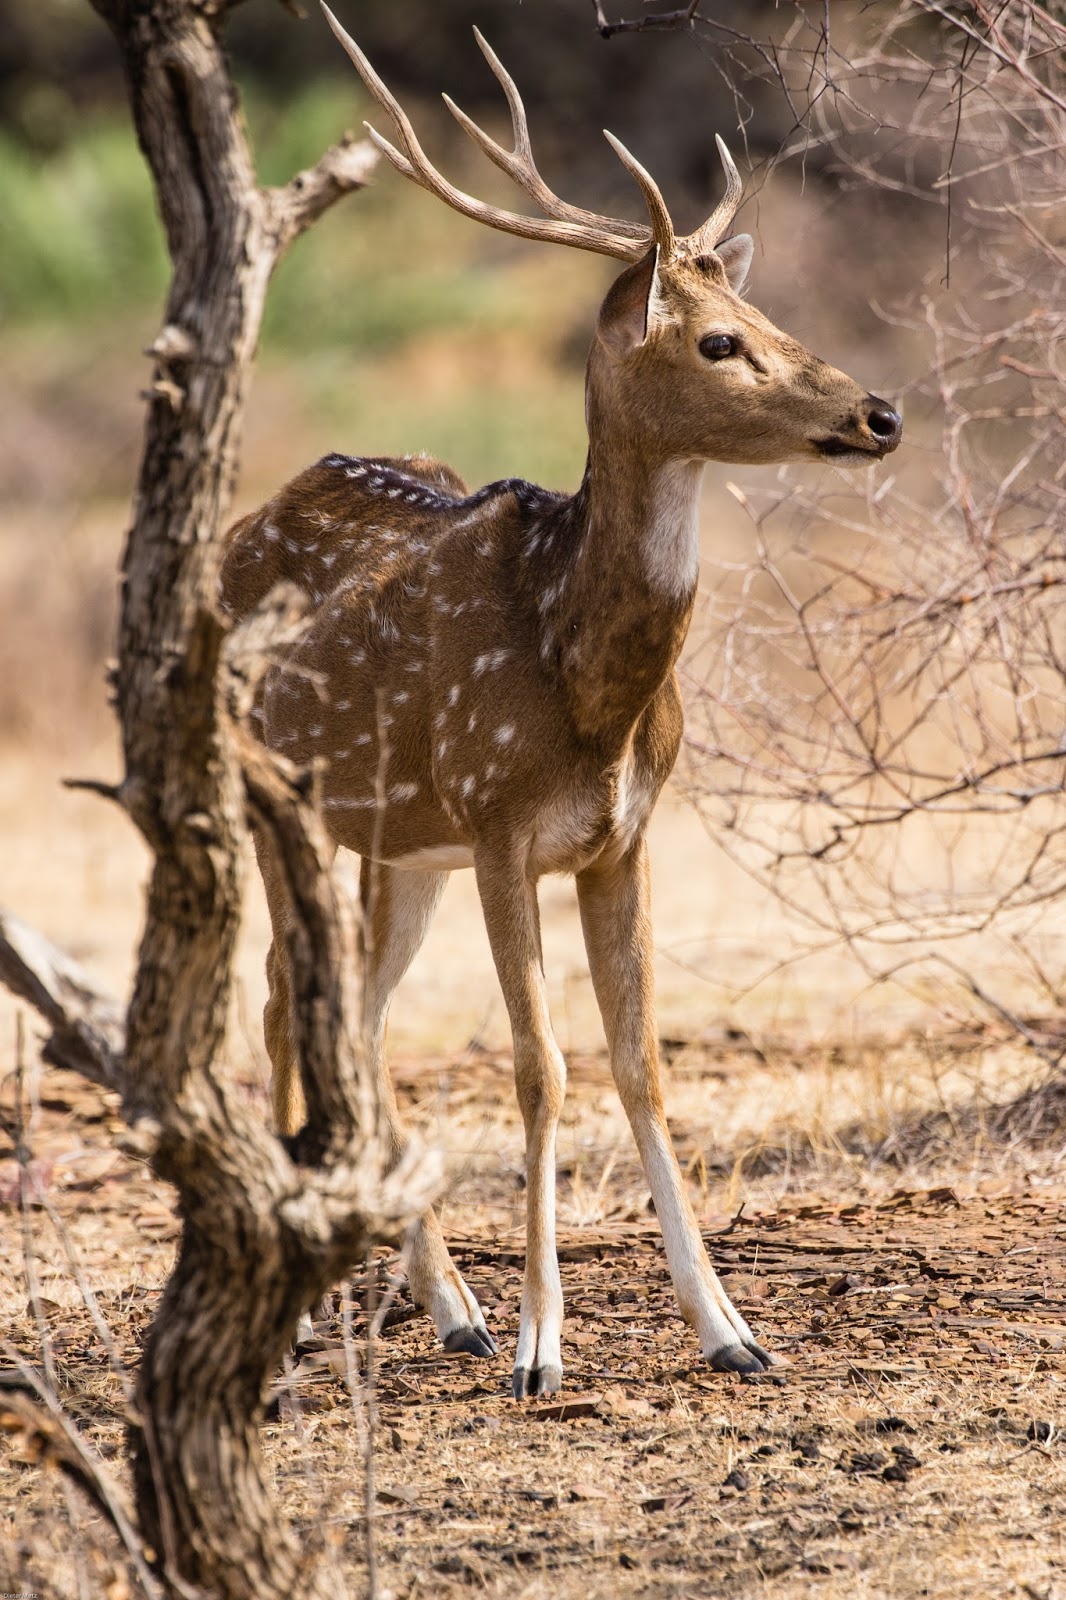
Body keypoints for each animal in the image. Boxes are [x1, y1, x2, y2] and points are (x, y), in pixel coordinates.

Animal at [222, 6, 896, 1395]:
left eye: (761, 307)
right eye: (716, 340)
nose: (878, 412)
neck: (588, 690)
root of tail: (238, 527)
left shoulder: (620, 839)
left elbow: (640, 1065)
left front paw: (730, 1331)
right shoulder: (496, 824)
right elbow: (539, 1067)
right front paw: (543, 1348)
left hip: (393, 845)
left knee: (358, 1019)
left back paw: (446, 1306)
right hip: (281, 796)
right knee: (278, 997)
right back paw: (326, 1316)